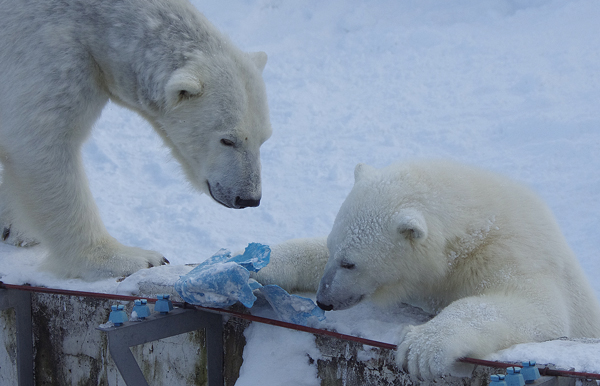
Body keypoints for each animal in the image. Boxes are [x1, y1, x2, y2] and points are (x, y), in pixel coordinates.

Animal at [0, 0, 272, 278]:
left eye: (264, 139)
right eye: (228, 140)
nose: (248, 199)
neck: (96, 23)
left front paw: (16, 228)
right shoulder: (49, 50)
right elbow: (43, 143)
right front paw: (135, 258)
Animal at [255, 161, 600, 380]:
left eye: (350, 263)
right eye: (334, 248)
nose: (323, 300)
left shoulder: (511, 254)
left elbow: (536, 307)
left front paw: (421, 349)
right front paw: (257, 265)